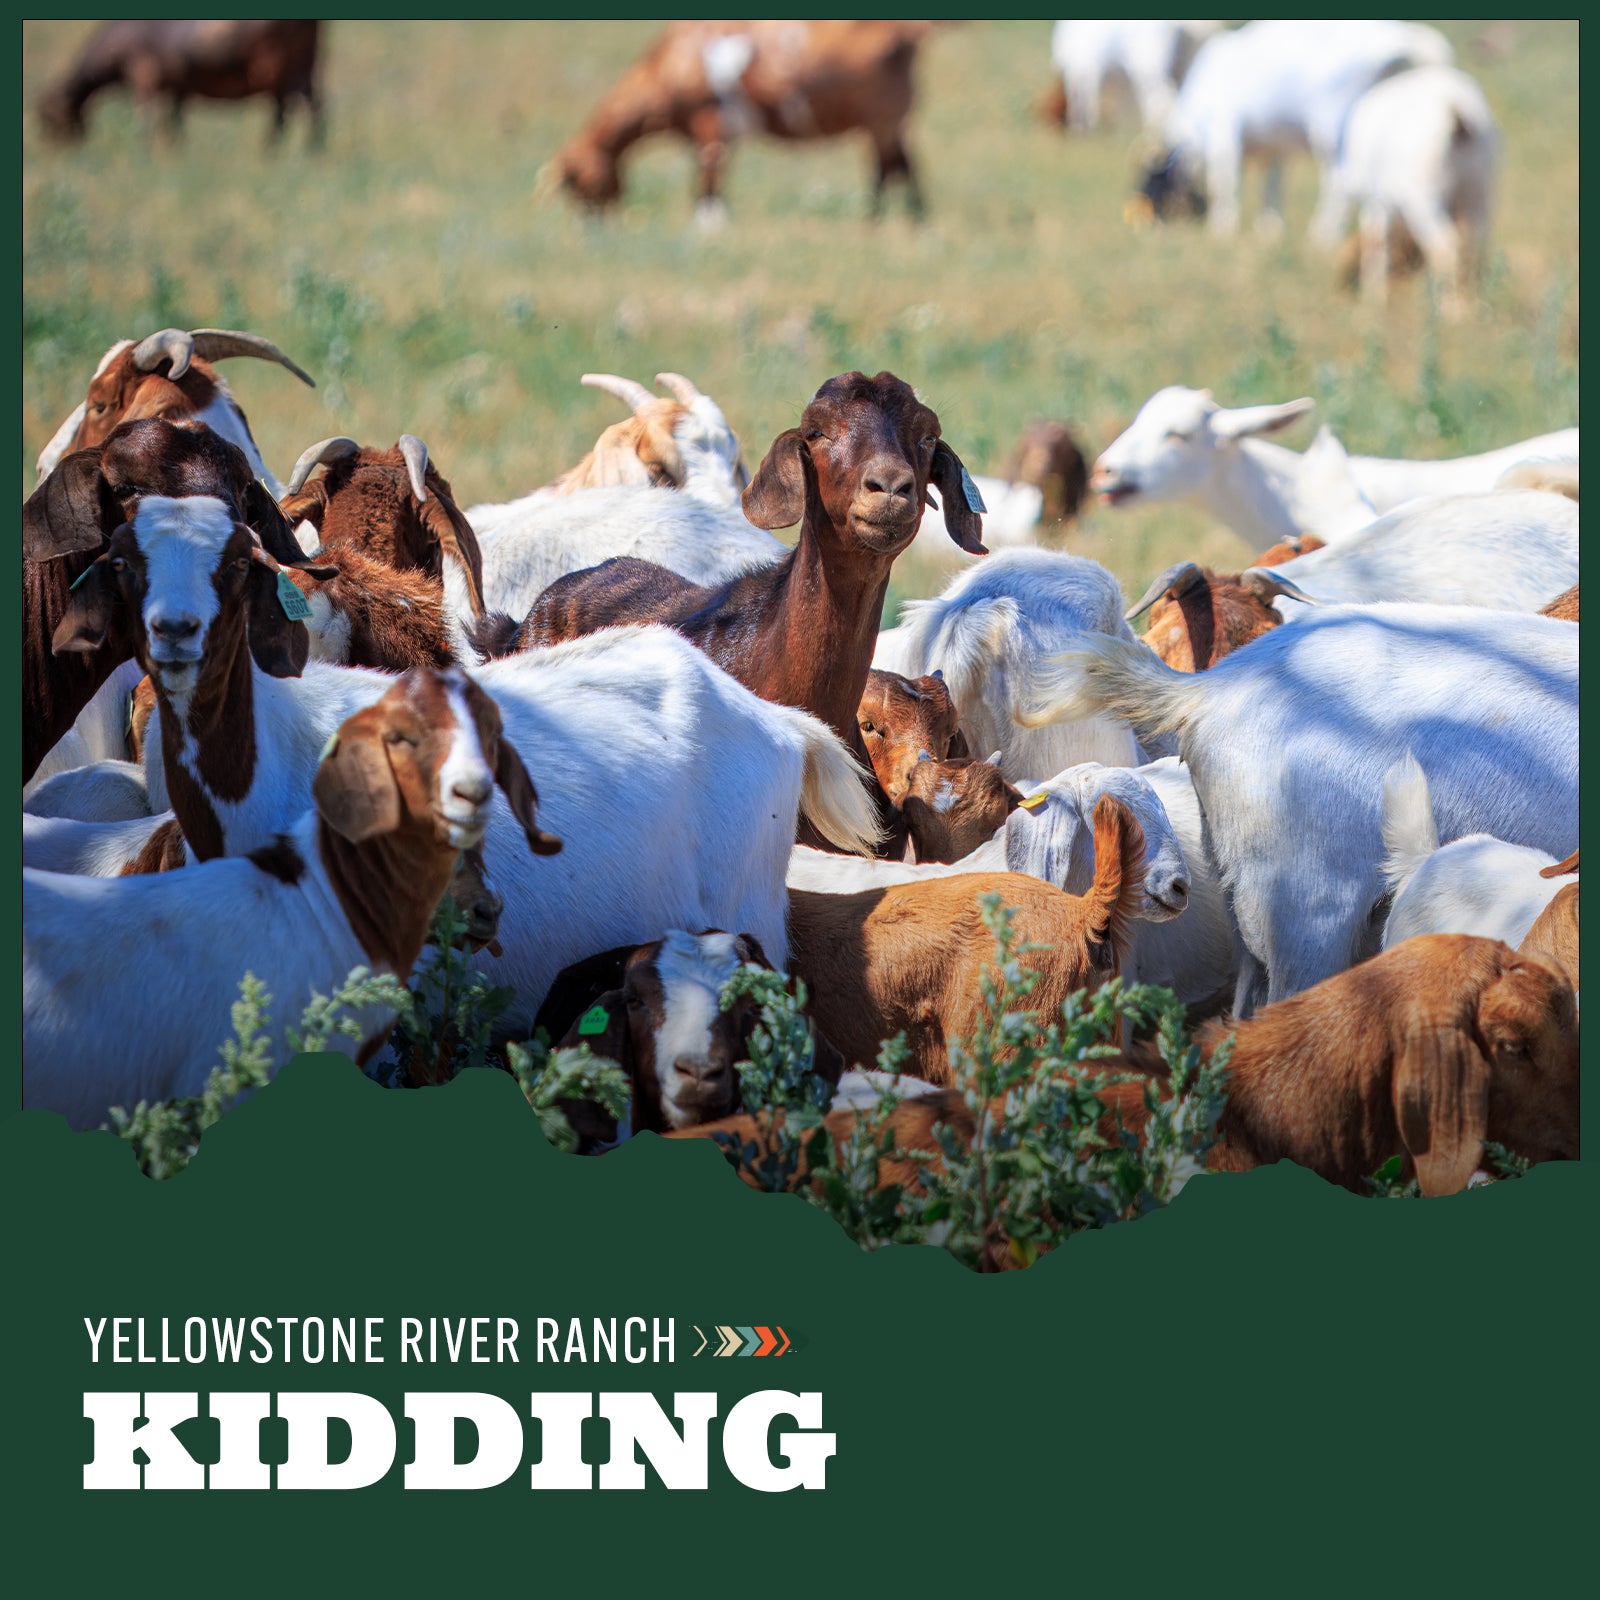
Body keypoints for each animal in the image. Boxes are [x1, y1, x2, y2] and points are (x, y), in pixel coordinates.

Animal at [37, 19, 323, 146]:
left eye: (48, 118)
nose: (53, 151)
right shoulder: (176, 88)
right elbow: (175, 122)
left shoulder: (144, 78)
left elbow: (146, 121)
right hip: (296, 73)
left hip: (287, 73)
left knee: (307, 112)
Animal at [549, 20, 933, 224]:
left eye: (577, 182)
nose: (592, 224)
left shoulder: (712, 126)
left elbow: (709, 183)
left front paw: (709, 227)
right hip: (885, 121)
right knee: (898, 166)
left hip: (884, 116)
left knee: (894, 168)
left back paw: (885, 221)